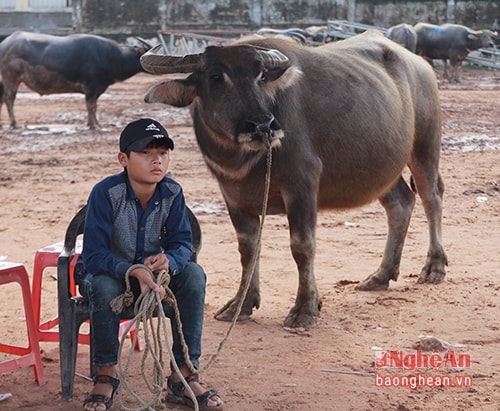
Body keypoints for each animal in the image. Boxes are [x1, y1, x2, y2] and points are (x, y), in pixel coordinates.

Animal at [0, 31, 150, 129]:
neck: (112, 56)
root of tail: (5, 44)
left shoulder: (97, 89)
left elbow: (95, 106)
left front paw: (97, 123)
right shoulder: (91, 88)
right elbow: (91, 106)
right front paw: (92, 125)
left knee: (2, 98)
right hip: (11, 78)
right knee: (9, 99)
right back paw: (14, 124)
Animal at [142, 30, 450, 330]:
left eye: (260, 76)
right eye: (216, 76)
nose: (263, 126)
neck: (243, 161)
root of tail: (420, 65)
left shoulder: (302, 186)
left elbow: (302, 246)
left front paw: (306, 309)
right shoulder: (232, 195)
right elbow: (248, 249)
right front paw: (241, 304)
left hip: (424, 146)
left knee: (431, 196)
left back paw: (434, 266)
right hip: (381, 167)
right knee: (400, 203)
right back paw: (382, 274)